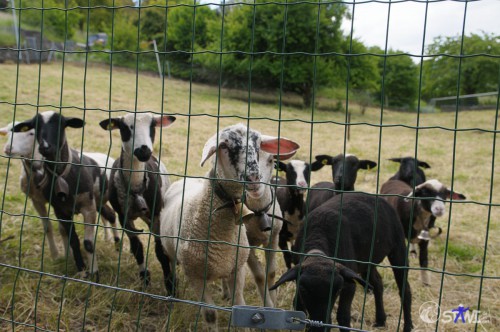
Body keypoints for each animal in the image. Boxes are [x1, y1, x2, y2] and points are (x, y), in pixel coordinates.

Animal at [11, 112, 115, 280]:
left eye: (61, 123)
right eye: (35, 125)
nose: (45, 147)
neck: (62, 174)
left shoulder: (88, 207)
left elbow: (88, 243)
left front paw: (94, 273)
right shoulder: (61, 211)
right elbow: (73, 240)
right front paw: (81, 269)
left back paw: (119, 245)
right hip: (98, 201)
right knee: (110, 214)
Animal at [98, 112, 175, 286]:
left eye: (152, 126)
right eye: (125, 128)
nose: (143, 150)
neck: (135, 186)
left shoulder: (156, 214)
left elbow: (161, 252)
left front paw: (170, 285)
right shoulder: (123, 216)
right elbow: (137, 248)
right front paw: (145, 278)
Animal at [160, 125, 298, 332]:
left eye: (259, 144)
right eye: (224, 145)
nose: (254, 178)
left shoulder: (240, 265)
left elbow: (246, 299)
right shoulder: (195, 275)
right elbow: (210, 314)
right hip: (173, 254)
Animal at [272, 193, 412, 330]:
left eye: (338, 290)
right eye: (303, 289)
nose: (320, 327)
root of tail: (376, 197)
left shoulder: (349, 285)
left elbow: (343, 316)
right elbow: (298, 308)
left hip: (398, 247)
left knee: (405, 290)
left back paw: (408, 325)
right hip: (366, 262)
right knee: (377, 283)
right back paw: (380, 320)